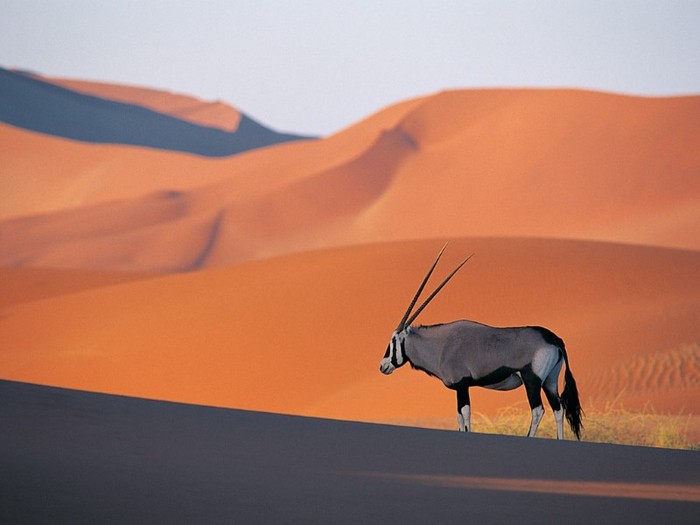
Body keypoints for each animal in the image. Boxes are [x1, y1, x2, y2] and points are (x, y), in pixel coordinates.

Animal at [379, 244, 583, 440]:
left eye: (393, 340)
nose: (383, 366)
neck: (441, 345)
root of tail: (554, 339)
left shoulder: (462, 385)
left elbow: (465, 415)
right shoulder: (459, 388)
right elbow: (459, 417)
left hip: (532, 379)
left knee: (538, 410)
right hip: (550, 380)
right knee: (558, 409)